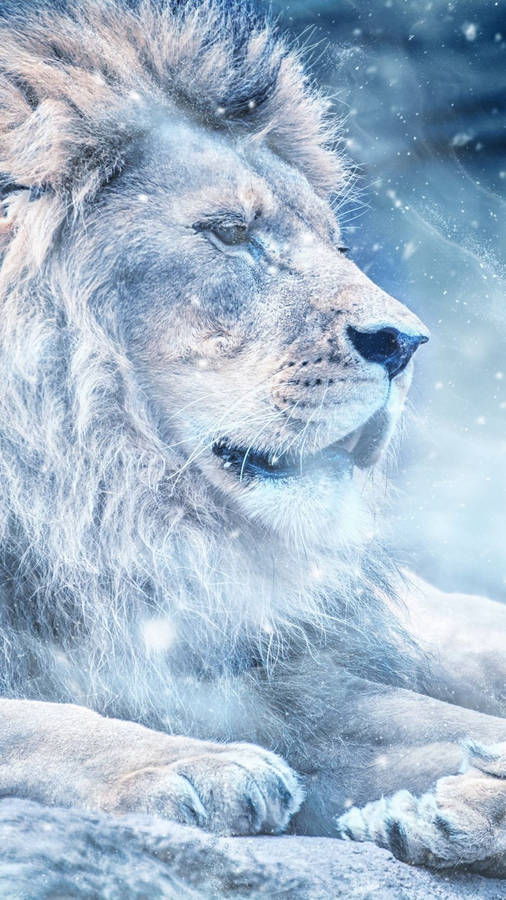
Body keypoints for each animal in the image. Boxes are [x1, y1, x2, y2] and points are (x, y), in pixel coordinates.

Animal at [0, 0, 505, 877]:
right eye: (231, 234)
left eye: (338, 247)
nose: (406, 342)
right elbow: (29, 718)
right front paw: (190, 763)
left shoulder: (282, 684)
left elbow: (426, 723)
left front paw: (466, 796)